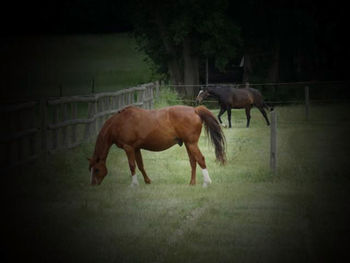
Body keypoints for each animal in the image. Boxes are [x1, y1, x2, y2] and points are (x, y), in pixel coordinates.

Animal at [86, 105, 226, 188]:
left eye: (97, 169)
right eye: (90, 170)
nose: (93, 184)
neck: (119, 123)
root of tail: (194, 109)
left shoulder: (128, 148)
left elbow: (132, 166)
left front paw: (134, 184)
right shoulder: (136, 148)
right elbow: (140, 165)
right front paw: (147, 181)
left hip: (191, 144)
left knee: (200, 159)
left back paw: (206, 183)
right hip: (188, 144)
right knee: (193, 161)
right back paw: (192, 183)